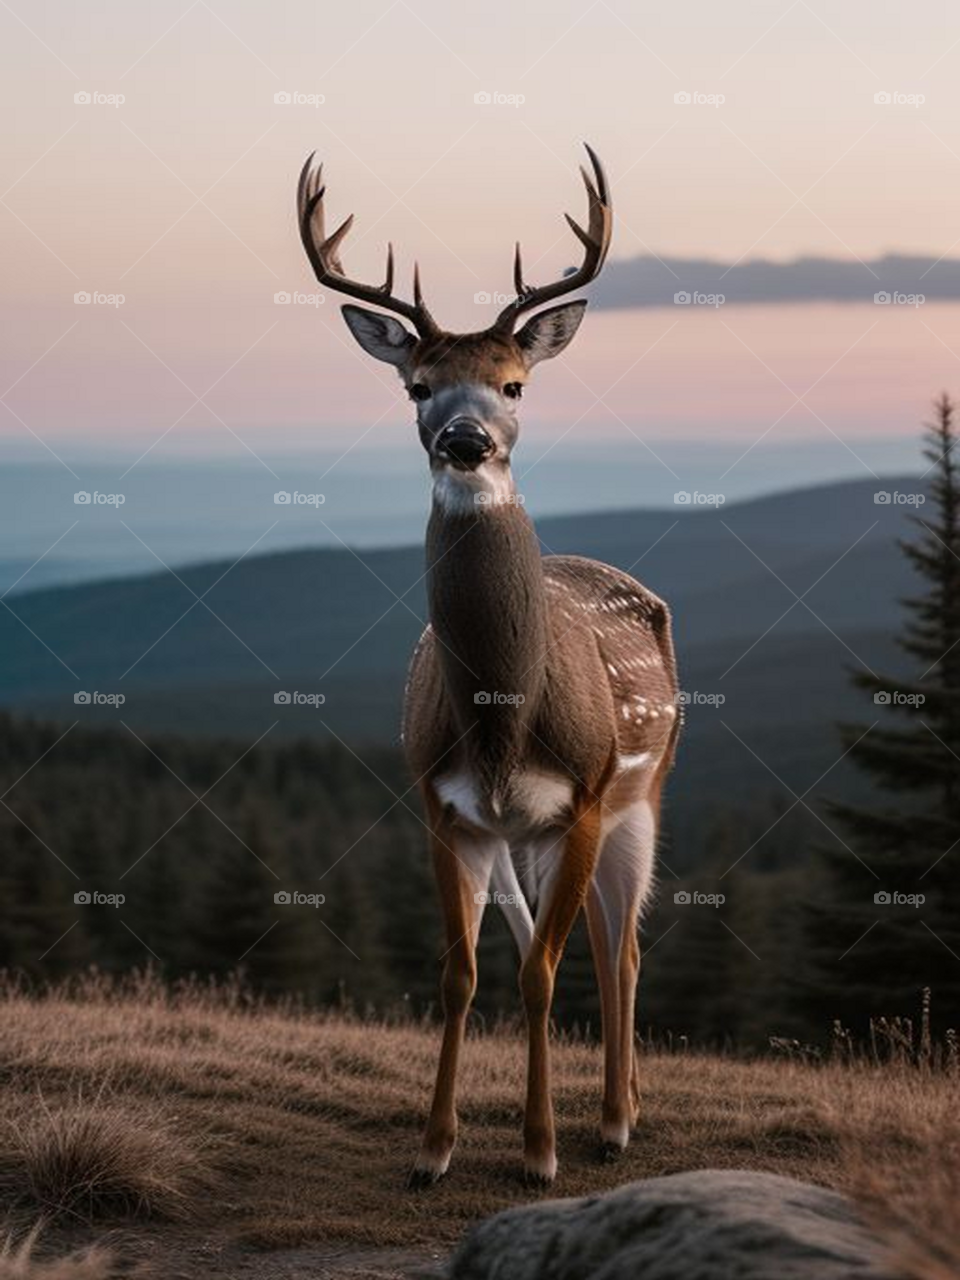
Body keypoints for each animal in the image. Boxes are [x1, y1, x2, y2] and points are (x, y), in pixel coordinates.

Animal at [298, 146, 680, 1185]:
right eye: (416, 387)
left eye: (514, 385)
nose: (464, 440)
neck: (505, 723)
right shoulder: (442, 806)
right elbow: (463, 972)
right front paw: (433, 1150)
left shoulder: (582, 796)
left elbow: (544, 972)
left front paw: (539, 1153)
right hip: (528, 835)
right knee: (577, 941)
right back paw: (611, 1111)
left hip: (640, 791)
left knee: (620, 947)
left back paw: (615, 1121)